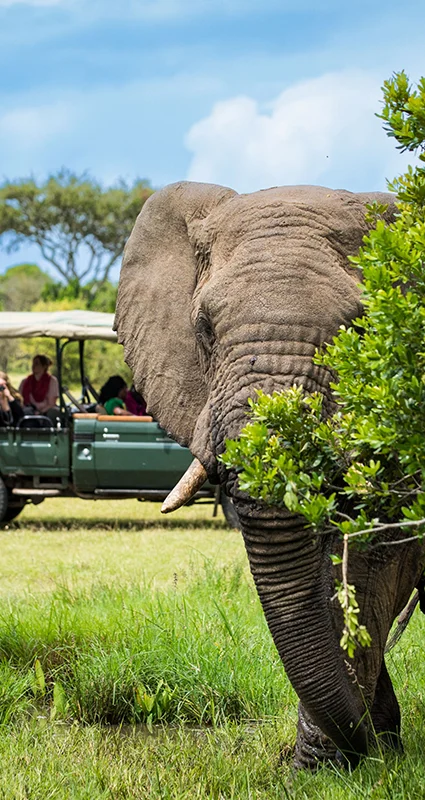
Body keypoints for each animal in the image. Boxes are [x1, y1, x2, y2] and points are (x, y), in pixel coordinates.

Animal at [114, 181, 425, 769]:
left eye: (359, 326)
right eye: (203, 329)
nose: (367, 742)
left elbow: (372, 558)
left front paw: (336, 761)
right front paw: (346, 754)